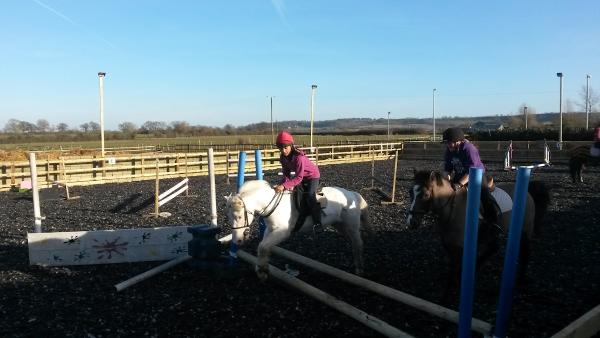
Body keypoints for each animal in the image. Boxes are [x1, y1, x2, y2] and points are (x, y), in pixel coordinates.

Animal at [225, 181, 368, 282]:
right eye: (229, 217)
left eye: (239, 217)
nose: (237, 240)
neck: (273, 205)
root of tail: (353, 194)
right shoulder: (270, 230)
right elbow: (262, 248)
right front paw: (262, 269)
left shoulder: (283, 232)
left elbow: (262, 246)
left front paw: (262, 272)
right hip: (340, 225)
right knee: (353, 242)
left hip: (352, 226)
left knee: (358, 243)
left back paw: (359, 269)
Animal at [408, 170, 548, 292]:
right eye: (410, 193)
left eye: (425, 195)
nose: (411, 222)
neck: (452, 210)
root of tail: (528, 193)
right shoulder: (450, 245)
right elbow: (453, 270)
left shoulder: (460, 248)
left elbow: (456, 269)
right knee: (493, 248)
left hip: (525, 231)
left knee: (525, 252)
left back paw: (521, 279)